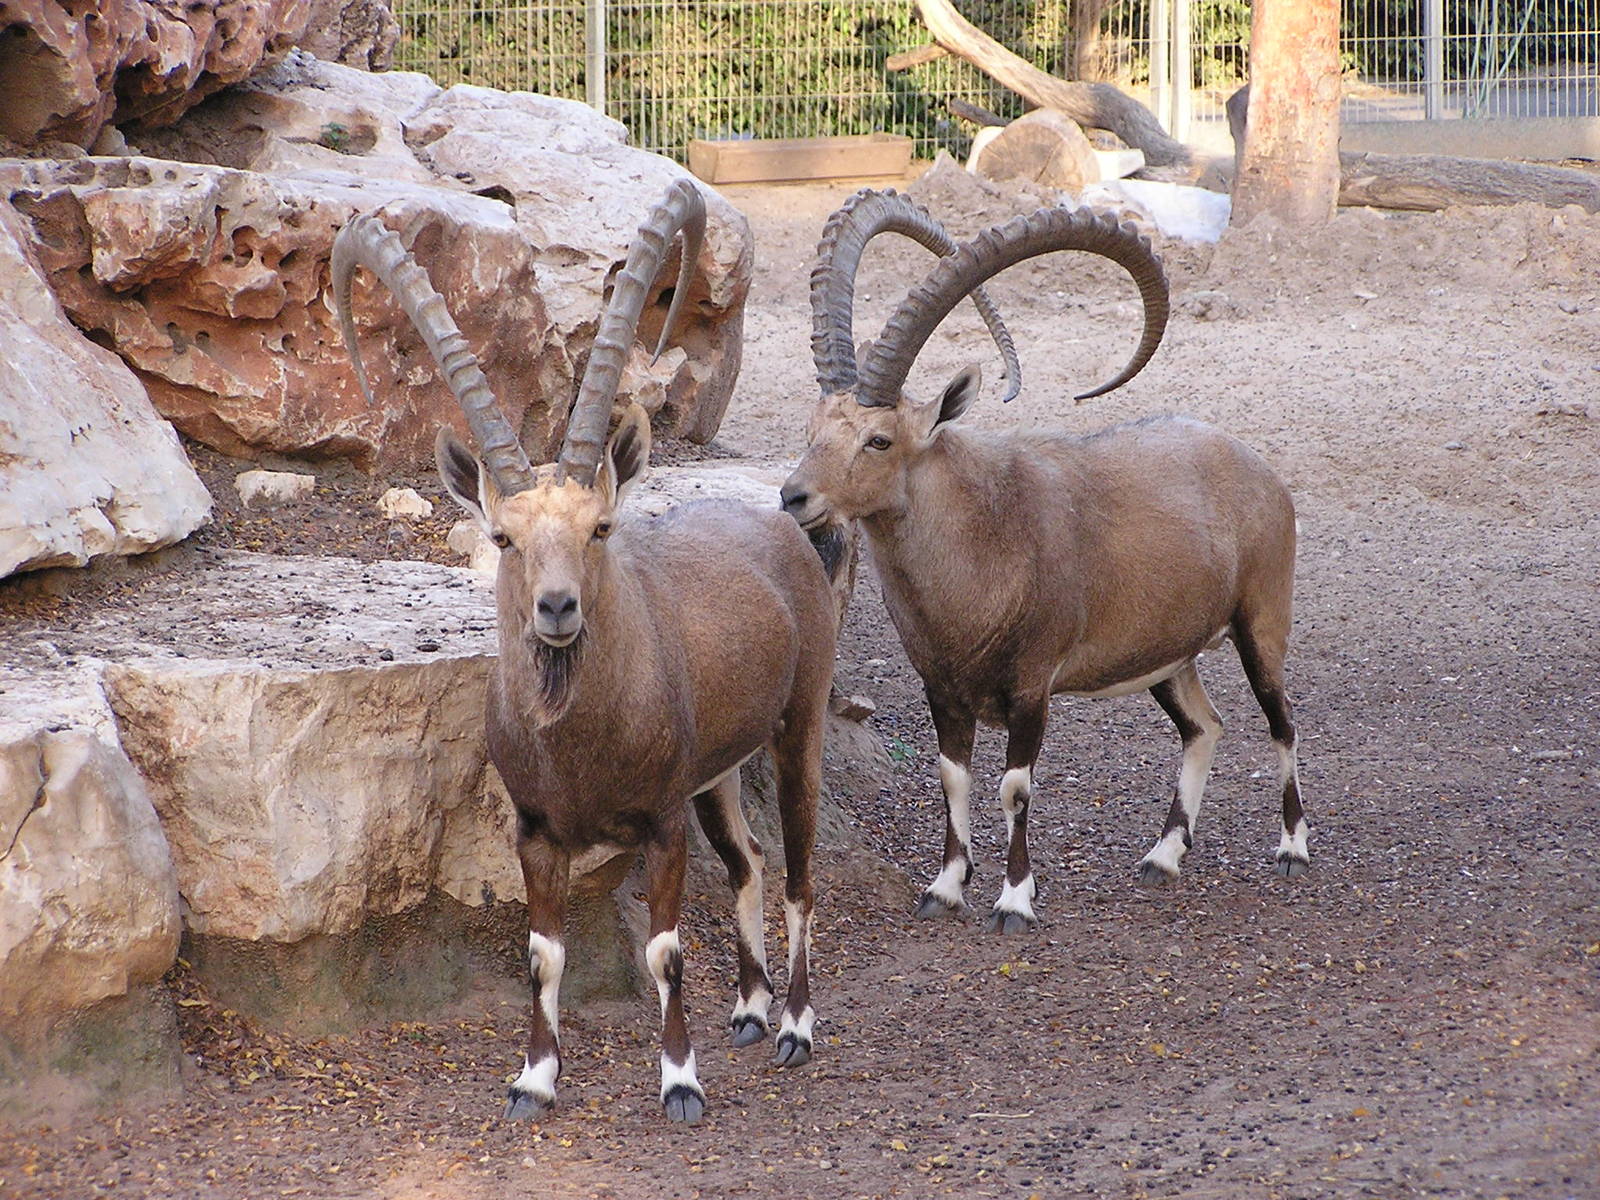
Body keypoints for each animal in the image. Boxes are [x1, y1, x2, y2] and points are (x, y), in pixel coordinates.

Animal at [332, 180, 838, 1122]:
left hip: (798, 729)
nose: (557, 607)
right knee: (749, 862)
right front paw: (534, 1079)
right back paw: (749, 1013)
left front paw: (680, 1082)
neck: (579, 748)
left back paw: (793, 1026)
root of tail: (782, 529)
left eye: (600, 527)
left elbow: (666, 950)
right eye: (503, 537)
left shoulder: (662, 823)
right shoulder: (537, 832)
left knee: (797, 875)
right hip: (716, 774)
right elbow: (544, 954)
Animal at [780, 190, 1307, 933]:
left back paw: (1291, 847)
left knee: (1280, 718)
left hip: (1262, 621)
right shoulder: (942, 688)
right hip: (1167, 656)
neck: (984, 547)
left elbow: (1015, 787)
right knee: (1205, 725)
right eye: (813, 428)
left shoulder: (1032, 687)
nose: (794, 496)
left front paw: (1014, 901)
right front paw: (945, 888)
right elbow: (954, 777)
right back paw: (1162, 857)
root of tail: (1261, 472)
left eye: (879, 440)